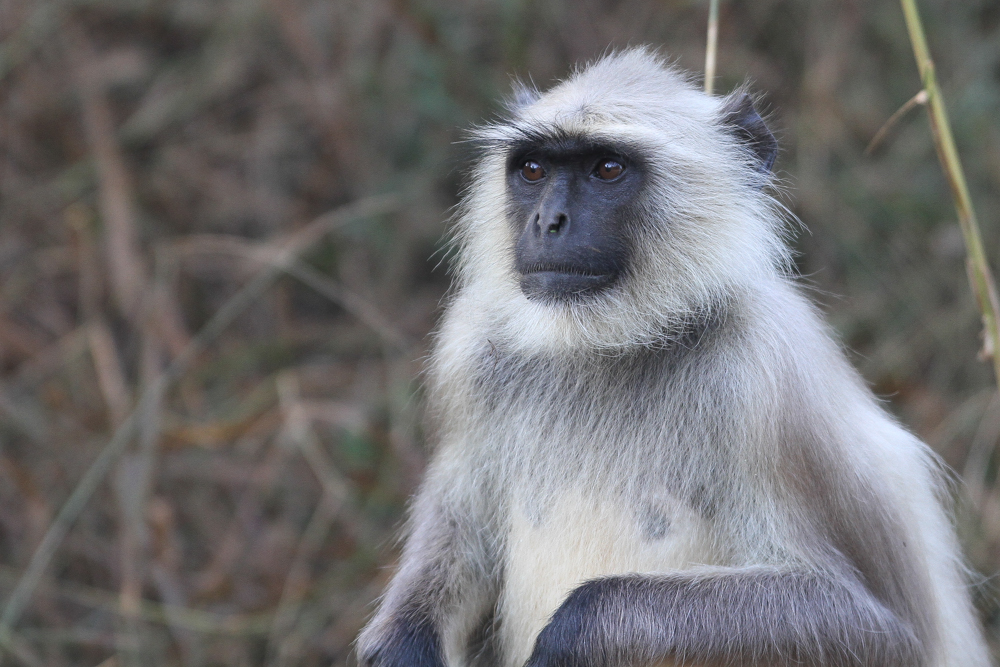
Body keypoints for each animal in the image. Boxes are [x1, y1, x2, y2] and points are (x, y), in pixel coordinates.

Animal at [356, 48, 988, 667]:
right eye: (533, 170)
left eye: (607, 169)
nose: (547, 221)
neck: (610, 346)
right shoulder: (468, 346)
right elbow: (462, 532)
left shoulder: (769, 381)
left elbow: (883, 632)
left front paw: (570, 636)